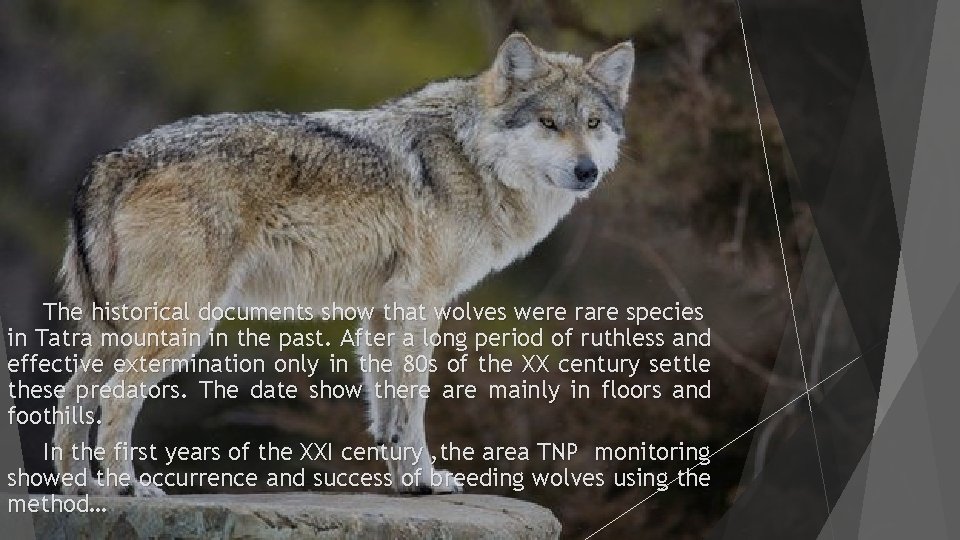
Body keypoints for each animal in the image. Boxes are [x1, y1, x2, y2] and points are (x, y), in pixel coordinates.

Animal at [54, 33, 633, 496]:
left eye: (593, 124)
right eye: (549, 123)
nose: (587, 171)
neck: (471, 157)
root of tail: (110, 161)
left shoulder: (380, 313)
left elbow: (388, 415)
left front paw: (406, 484)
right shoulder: (419, 305)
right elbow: (414, 406)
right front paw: (426, 480)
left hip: (113, 334)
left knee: (70, 399)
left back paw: (83, 490)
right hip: (182, 326)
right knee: (114, 398)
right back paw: (127, 487)